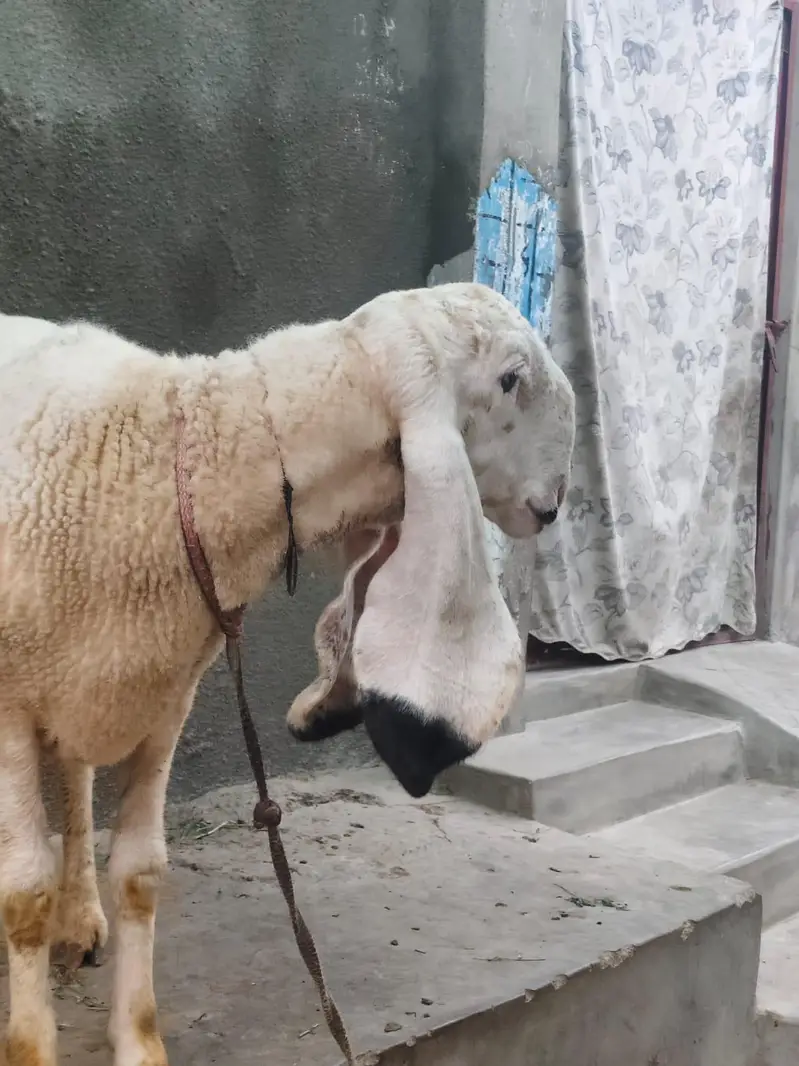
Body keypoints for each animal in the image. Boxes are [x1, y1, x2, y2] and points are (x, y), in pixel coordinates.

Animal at [0, 281, 575, 1066]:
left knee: (79, 777)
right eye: (512, 377)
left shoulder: (165, 698)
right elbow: (22, 893)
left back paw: (81, 915)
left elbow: (141, 872)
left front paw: (139, 1039)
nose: (558, 498)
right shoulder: (11, 706)